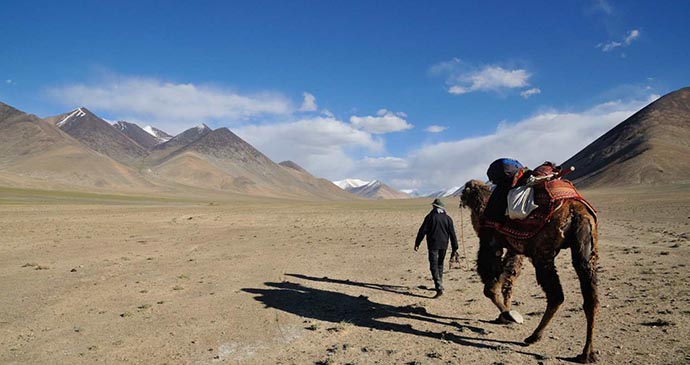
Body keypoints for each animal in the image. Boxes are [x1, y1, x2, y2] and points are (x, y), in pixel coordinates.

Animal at [460, 179, 600, 362]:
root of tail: (577, 213)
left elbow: (491, 287)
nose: (460, 197)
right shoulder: (514, 249)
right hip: (586, 250)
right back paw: (586, 353)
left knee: (556, 295)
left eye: (466, 189)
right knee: (590, 300)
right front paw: (505, 315)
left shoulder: (491, 242)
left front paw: (508, 315)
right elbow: (508, 281)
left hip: (543, 252)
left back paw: (534, 336)